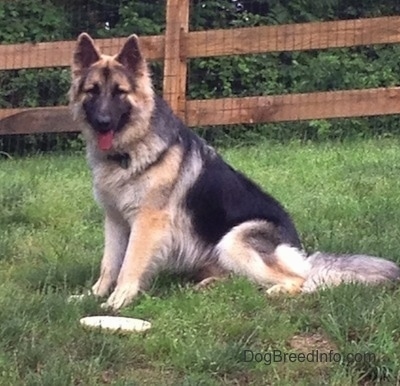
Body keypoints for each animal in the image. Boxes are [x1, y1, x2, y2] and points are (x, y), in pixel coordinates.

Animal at [69, 33, 400, 310]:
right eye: (92, 91)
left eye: (119, 93)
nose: (102, 122)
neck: (129, 150)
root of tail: (299, 249)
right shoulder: (115, 221)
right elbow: (110, 262)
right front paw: (94, 294)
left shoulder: (146, 223)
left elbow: (130, 264)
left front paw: (118, 300)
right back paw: (208, 285)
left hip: (234, 240)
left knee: (300, 281)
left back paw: (277, 291)